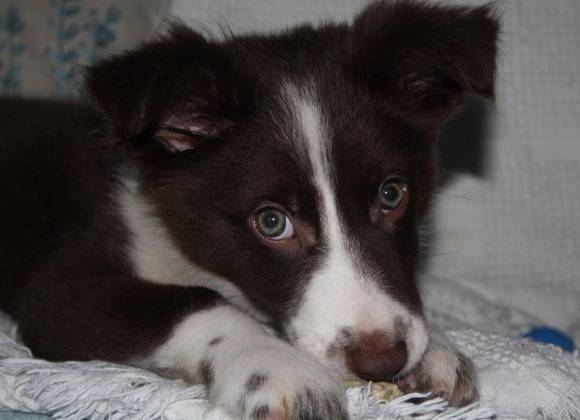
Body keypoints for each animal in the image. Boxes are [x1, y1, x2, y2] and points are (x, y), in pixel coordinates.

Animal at [0, 1, 499, 418]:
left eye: (392, 195)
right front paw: (277, 367)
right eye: (272, 222)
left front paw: (435, 349)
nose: (381, 361)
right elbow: (193, 300)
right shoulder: (60, 292)